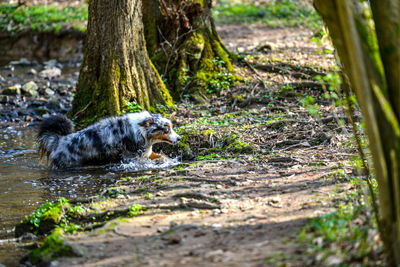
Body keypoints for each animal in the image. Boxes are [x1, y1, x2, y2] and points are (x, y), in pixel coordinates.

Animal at [37, 111, 181, 170]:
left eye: (172, 127)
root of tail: (58, 140)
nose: (179, 138)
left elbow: (161, 156)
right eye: (166, 130)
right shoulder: (131, 158)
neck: (142, 131)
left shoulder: (147, 153)